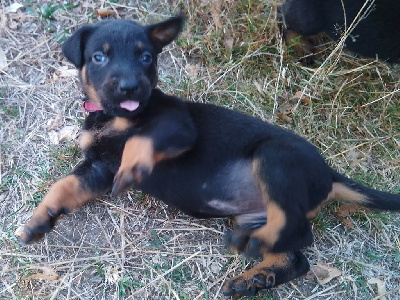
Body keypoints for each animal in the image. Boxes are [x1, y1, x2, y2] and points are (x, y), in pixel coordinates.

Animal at [20, 15, 400, 296]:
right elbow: (62, 186)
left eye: (146, 57)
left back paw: (254, 254)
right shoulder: (97, 167)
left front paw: (134, 168)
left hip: (274, 156)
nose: (130, 88)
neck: (111, 115)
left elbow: (139, 140)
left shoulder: (177, 123)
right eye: (99, 56)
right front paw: (40, 220)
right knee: (296, 254)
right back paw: (255, 277)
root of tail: (330, 174)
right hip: (251, 214)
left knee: (297, 229)